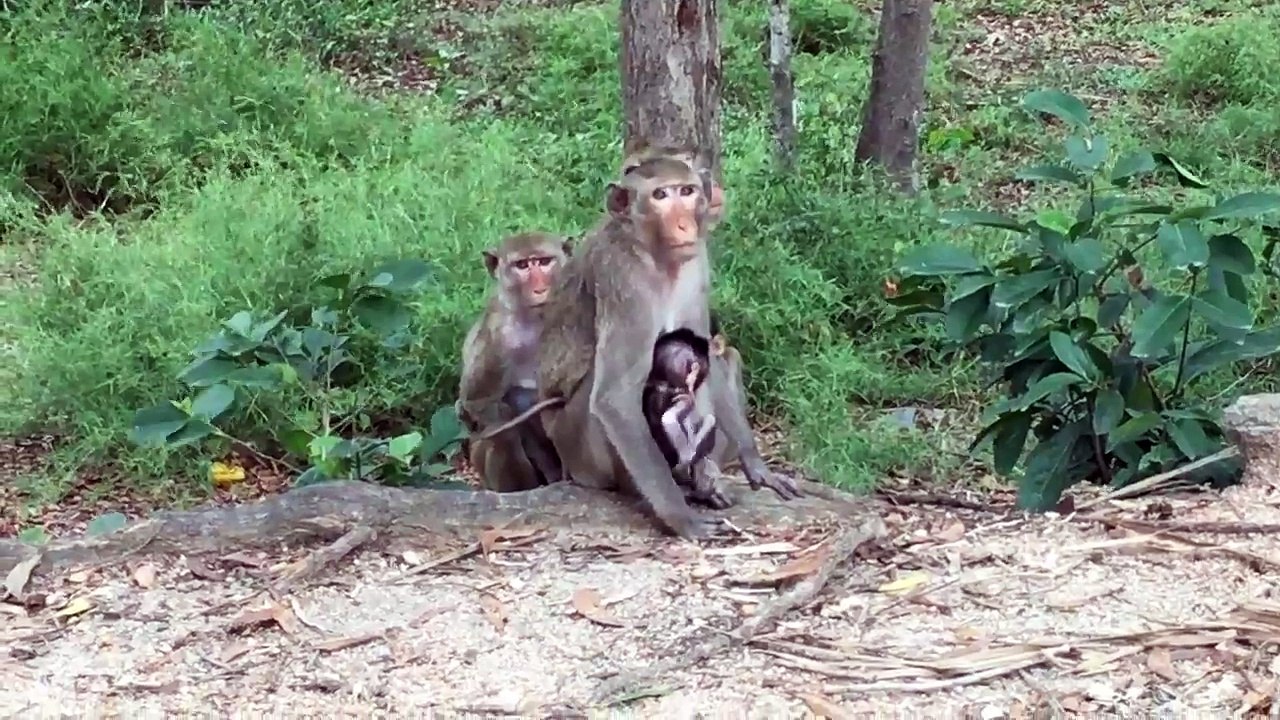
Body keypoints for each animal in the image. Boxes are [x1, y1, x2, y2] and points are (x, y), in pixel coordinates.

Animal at [457, 231, 572, 492]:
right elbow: (478, 402)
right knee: (503, 431)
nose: (540, 288)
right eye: (522, 266)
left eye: (544, 262)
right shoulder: (496, 336)